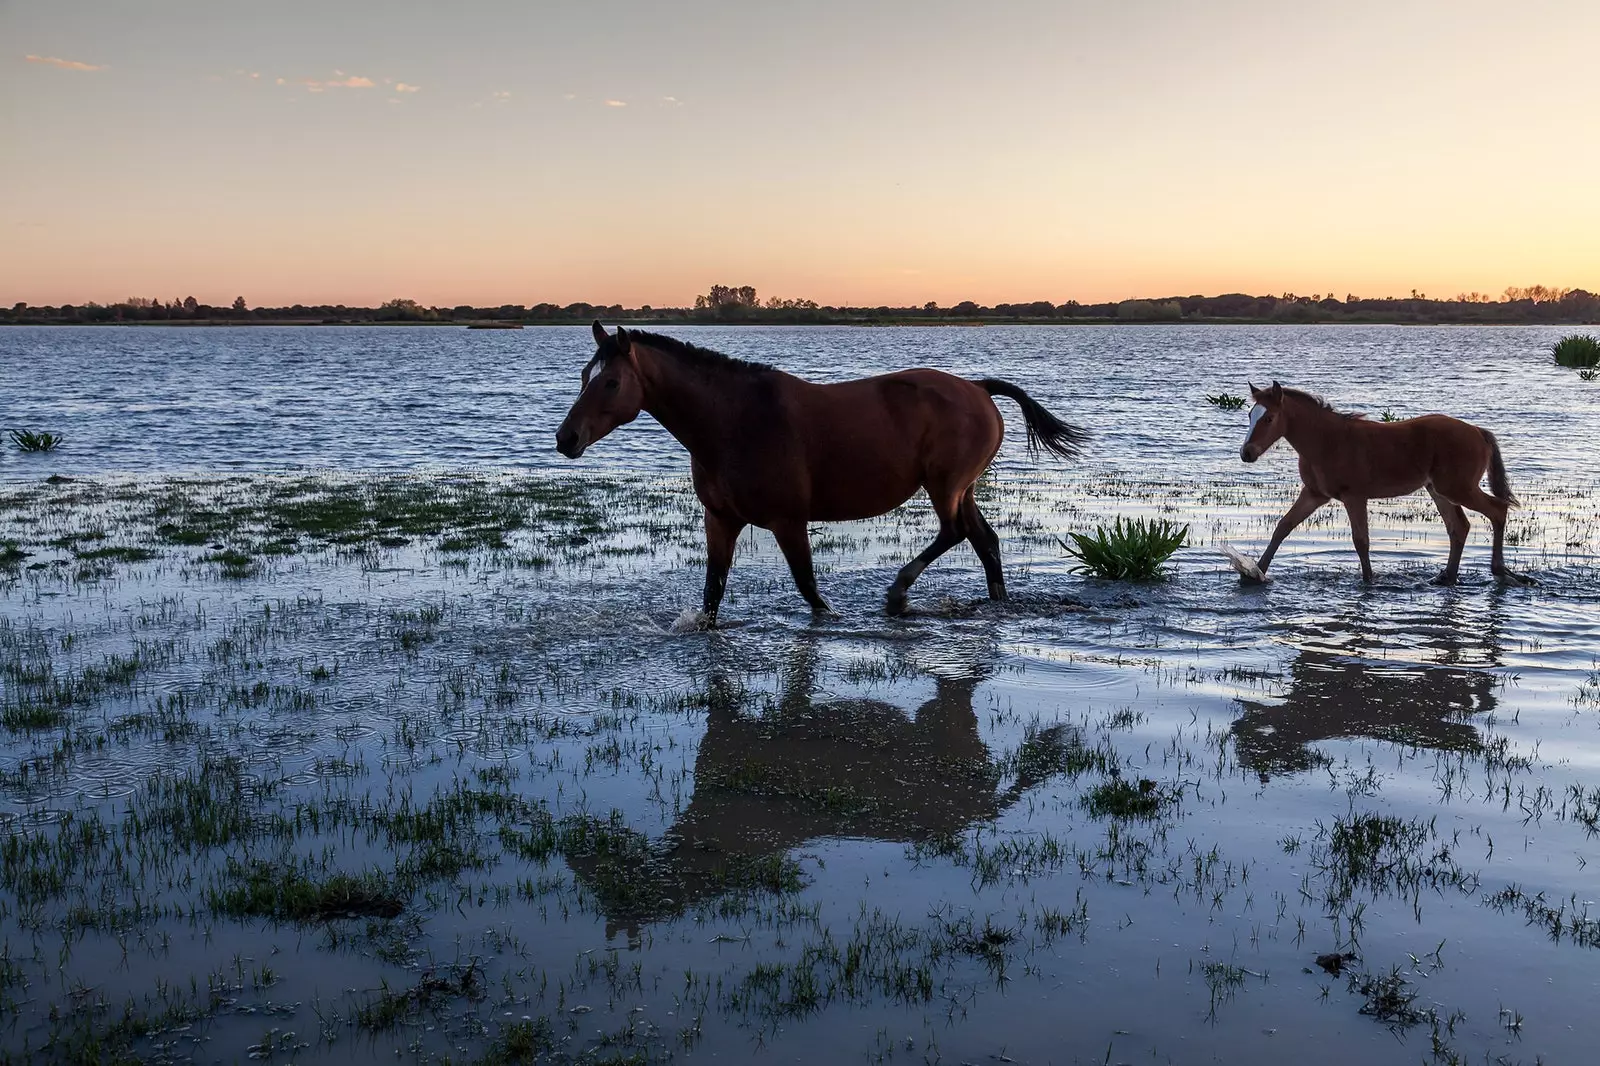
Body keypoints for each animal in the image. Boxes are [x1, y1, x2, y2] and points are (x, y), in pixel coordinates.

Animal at [1235, 379, 1523, 582]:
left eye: (1269, 418)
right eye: (1250, 415)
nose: (1246, 453)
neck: (1327, 442)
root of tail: (1478, 432)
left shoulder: (1354, 496)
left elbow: (1361, 541)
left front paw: (1369, 580)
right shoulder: (1314, 494)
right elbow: (1282, 527)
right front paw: (1256, 573)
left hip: (1457, 488)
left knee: (1497, 510)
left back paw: (1498, 570)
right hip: (1439, 490)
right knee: (1459, 527)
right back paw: (1446, 577)